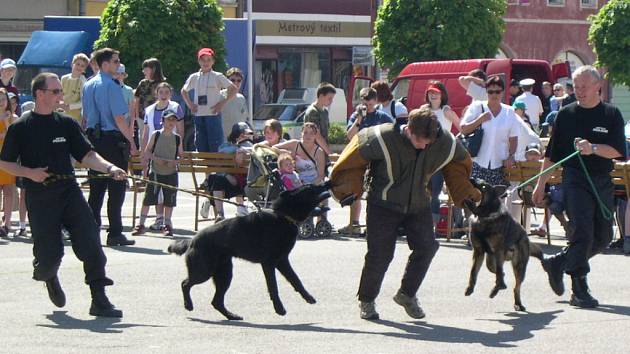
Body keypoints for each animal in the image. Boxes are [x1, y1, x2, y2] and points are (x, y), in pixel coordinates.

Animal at [170, 183, 334, 318]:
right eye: (310, 188)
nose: (327, 183)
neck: (283, 216)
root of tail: (192, 240)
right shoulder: (269, 263)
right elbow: (273, 286)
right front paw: (279, 308)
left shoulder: (282, 261)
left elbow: (296, 280)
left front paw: (308, 297)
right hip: (204, 271)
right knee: (185, 284)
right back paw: (188, 305)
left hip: (225, 274)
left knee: (216, 301)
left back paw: (231, 316)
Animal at [462, 178, 544, 312]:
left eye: (483, 186)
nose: (471, 178)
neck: (485, 215)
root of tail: (526, 236)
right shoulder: (479, 252)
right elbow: (473, 272)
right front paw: (470, 288)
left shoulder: (498, 251)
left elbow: (499, 274)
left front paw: (498, 288)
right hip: (490, 261)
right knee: (498, 271)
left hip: (519, 267)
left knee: (516, 287)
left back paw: (517, 302)